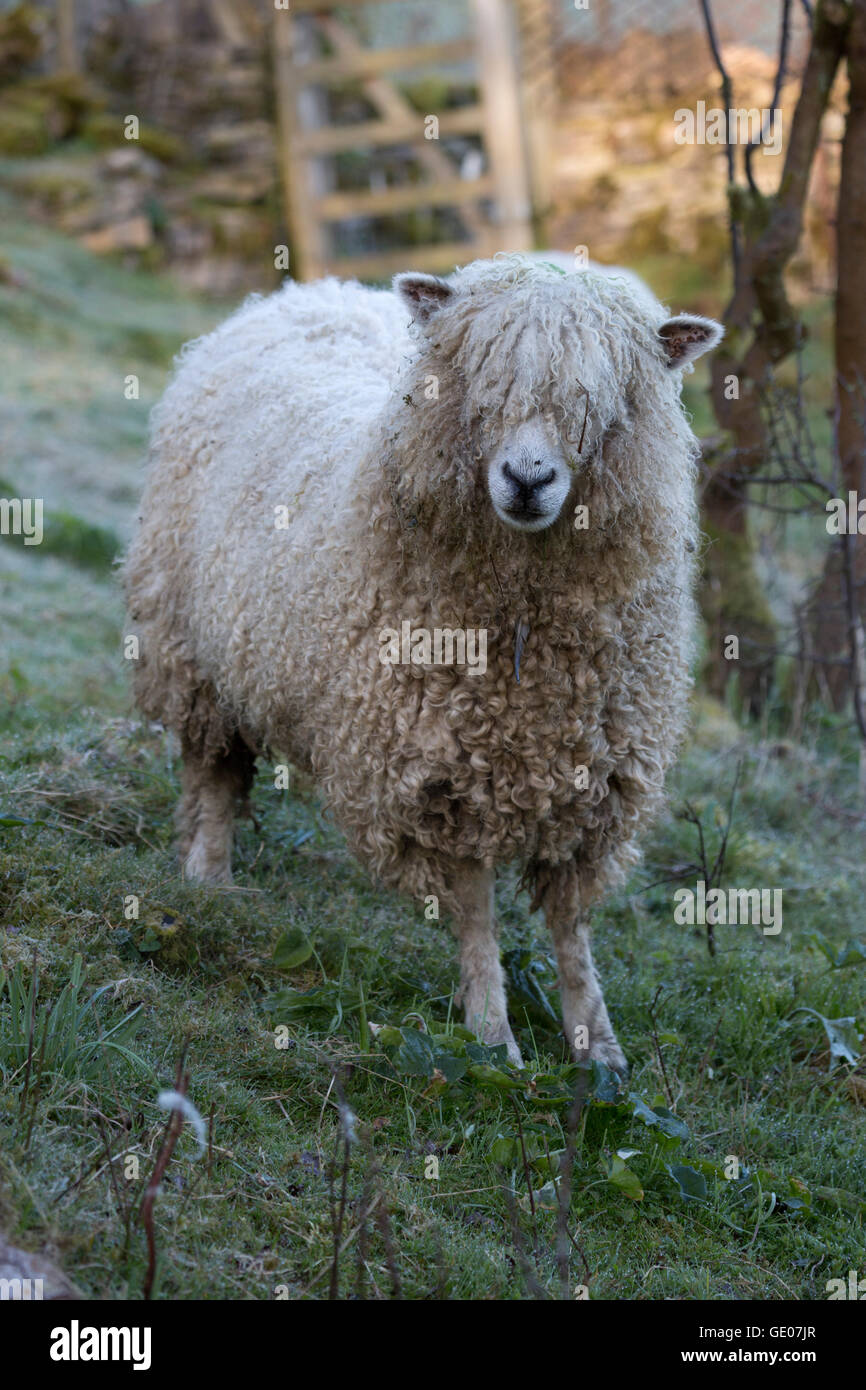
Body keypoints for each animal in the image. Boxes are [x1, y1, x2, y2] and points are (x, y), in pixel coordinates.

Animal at [123, 255, 722, 1067]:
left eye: (604, 399)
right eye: (477, 376)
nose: (528, 479)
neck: (525, 638)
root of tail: (313, 292)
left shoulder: (596, 774)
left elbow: (571, 921)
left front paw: (597, 1044)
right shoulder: (435, 770)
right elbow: (474, 914)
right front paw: (493, 1036)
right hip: (192, 649)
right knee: (214, 771)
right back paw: (208, 878)